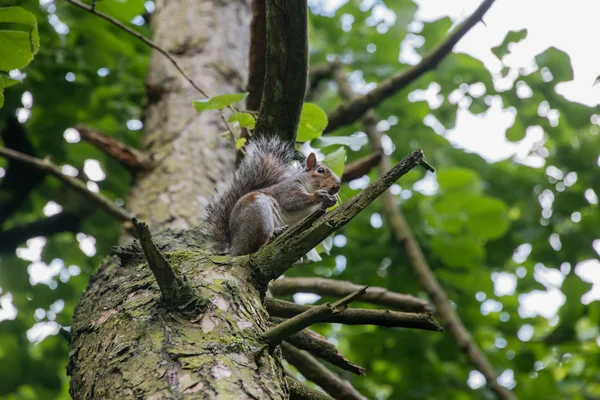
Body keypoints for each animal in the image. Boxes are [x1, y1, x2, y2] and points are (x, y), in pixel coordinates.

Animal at [204, 137, 340, 256]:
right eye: (321, 171)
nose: (337, 186)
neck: (307, 186)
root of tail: (234, 247)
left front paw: (329, 201)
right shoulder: (287, 189)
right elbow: (293, 201)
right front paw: (319, 195)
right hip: (256, 211)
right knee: (255, 246)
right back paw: (272, 235)